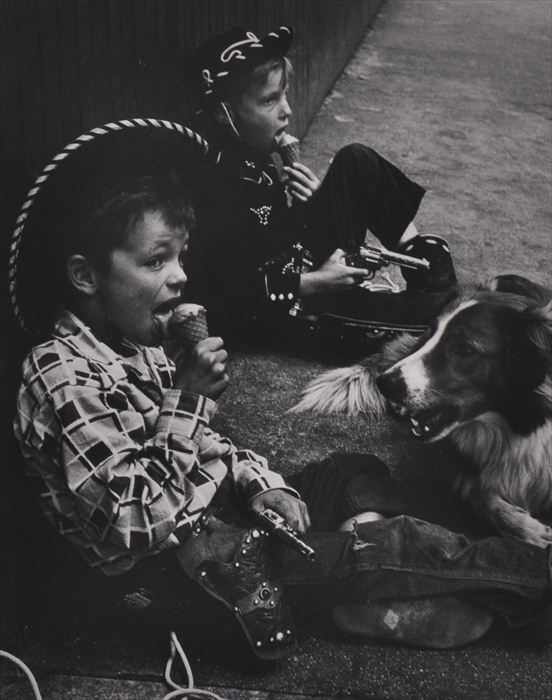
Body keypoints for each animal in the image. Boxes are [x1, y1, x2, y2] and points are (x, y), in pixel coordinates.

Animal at [294, 276, 552, 548]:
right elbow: (479, 495)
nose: (383, 383)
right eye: (432, 332)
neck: (516, 428)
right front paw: (527, 528)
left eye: (465, 349)